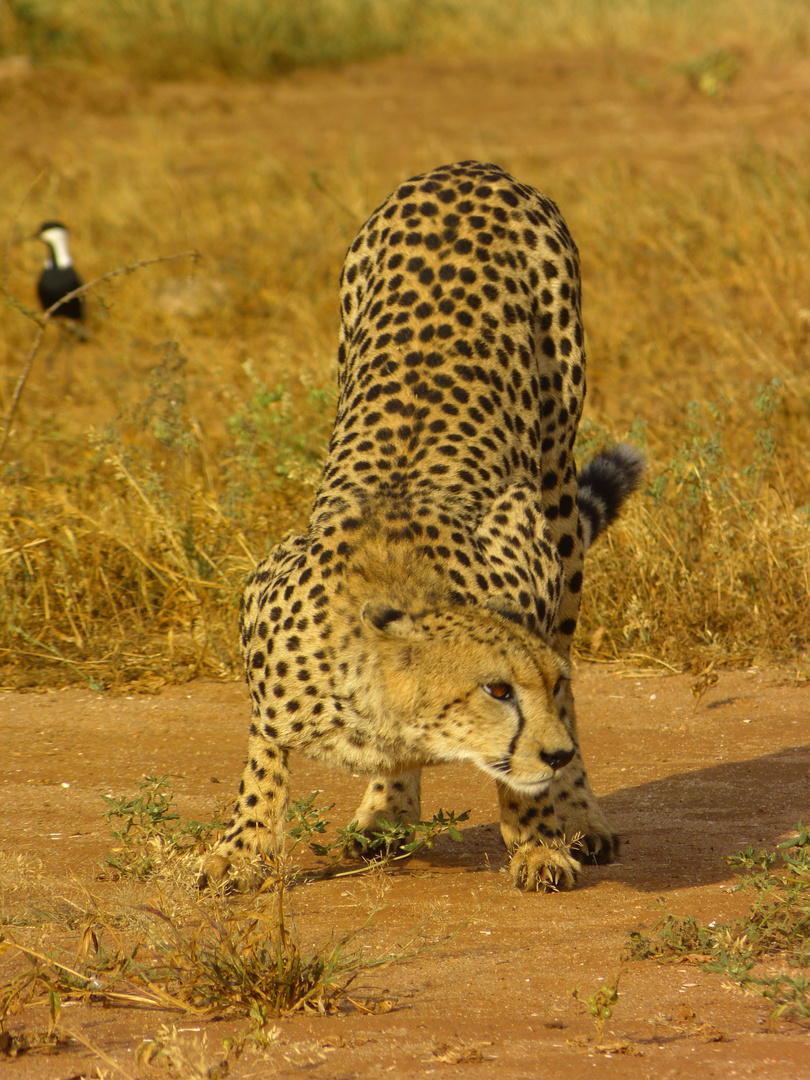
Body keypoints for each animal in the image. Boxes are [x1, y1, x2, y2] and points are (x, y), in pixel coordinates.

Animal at [204, 157, 648, 885]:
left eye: (535, 686)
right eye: (496, 690)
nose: (552, 754)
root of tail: (469, 167)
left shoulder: (528, 548)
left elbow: (541, 740)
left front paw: (539, 839)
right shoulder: (265, 598)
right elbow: (262, 760)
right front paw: (242, 848)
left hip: (557, 470)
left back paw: (580, 815)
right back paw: (387, 811)